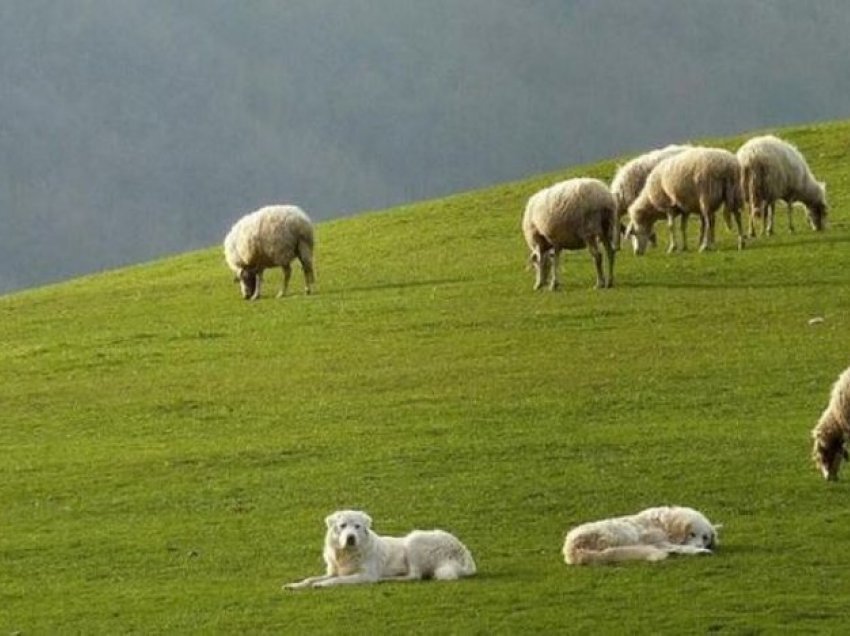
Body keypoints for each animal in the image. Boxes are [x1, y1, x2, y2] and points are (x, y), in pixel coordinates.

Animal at [282, 510, 474, 588]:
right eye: (343, 526)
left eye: (357, 526)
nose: (350, 538)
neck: (348, 554)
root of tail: (462, 549)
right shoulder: (333, 571)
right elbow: (309, 579)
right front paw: (294, 585)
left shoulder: (365, 575)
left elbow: (338, 580)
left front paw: (322, 585)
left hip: (414, 540)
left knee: (414, 575)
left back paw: (387, 579)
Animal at [560, 504, 720, 564]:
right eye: (692, 534)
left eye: (705, 537)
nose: (700, 545)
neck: (666, 524)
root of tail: (571, 549)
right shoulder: (659, 542)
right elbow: (681, 547)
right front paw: (700, 551)